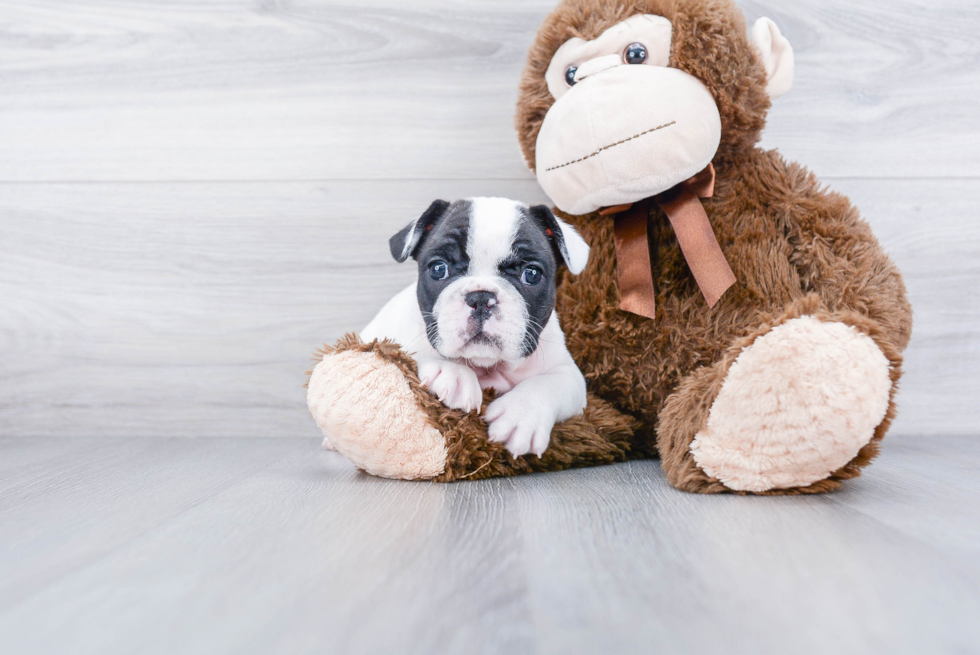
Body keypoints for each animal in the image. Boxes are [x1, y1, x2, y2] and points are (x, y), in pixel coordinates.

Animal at [360, 197, 588, 458]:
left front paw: (521, 415)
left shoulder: (569, 374)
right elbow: (408, 351)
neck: (488, 366)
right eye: (438, 269)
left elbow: (548, 383)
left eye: (531, 274)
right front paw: (452, 372)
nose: (481, 298)